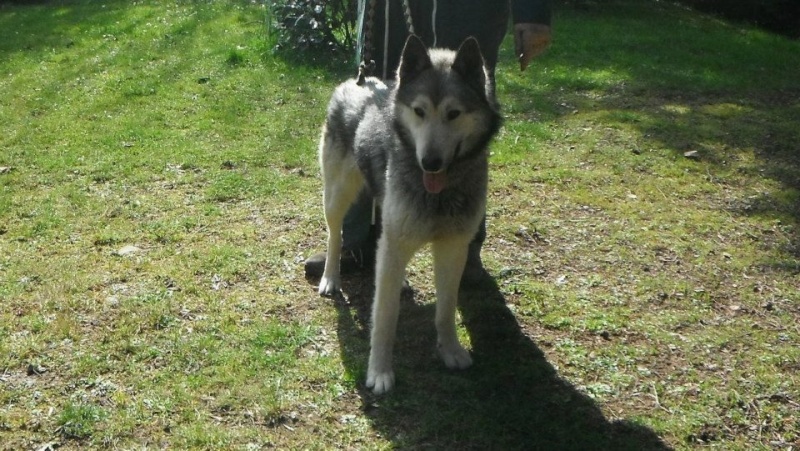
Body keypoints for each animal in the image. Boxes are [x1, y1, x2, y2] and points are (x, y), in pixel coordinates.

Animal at [318, 35, 500, 394]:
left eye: (454, 114)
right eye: (419, 111)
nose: (430, 162)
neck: (439, 194)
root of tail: (359, 82)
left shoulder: (454, 247)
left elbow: (446, 309)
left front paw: (451, 350)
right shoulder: (397, 241)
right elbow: (385, 316)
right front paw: (379, 372)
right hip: (337, 196)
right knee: (335, 235)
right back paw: (331, 277)